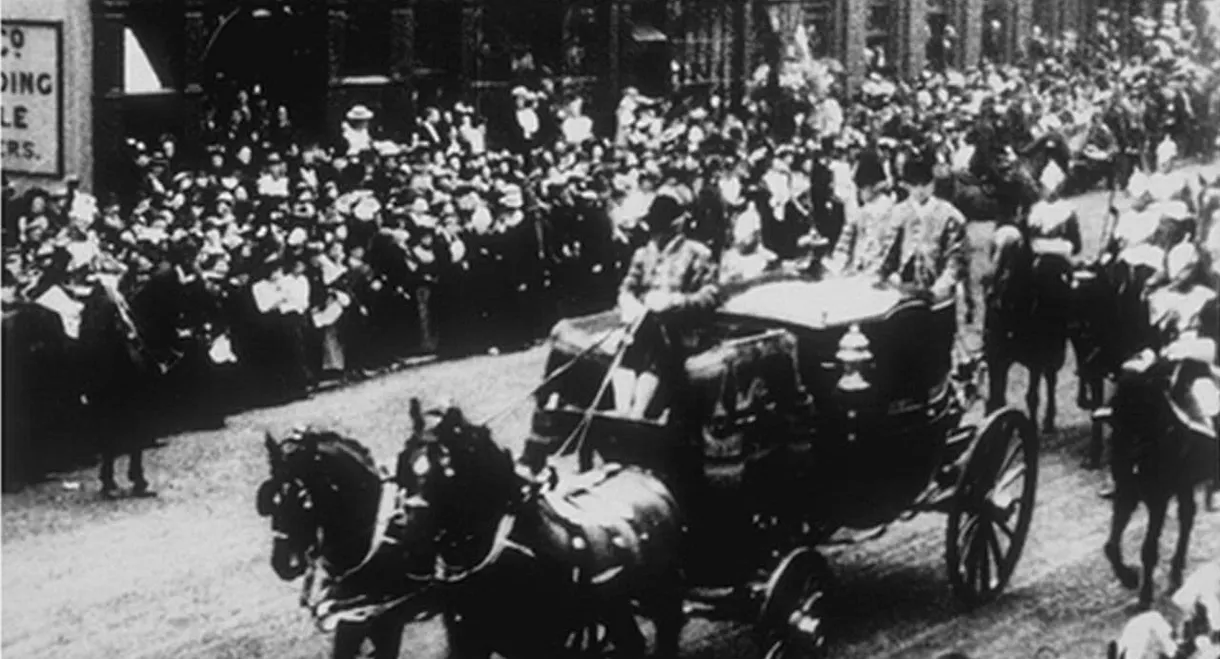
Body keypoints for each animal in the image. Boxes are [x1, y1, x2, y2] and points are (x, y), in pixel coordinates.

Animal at [400, 397, 688, 654]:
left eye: (447, 470)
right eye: (405, 467)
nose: (407, 531)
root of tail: (645, 474)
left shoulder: (545, 644)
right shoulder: (468, 642)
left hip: (661, 591)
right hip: (617, 607)